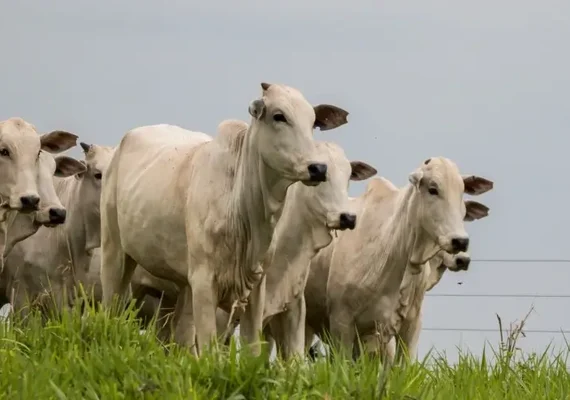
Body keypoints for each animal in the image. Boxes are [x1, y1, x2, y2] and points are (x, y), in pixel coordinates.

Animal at [101, 83, 350, 354]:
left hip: (182, 284)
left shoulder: (256, 287)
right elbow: (209, 346)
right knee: (111, 307)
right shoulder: (204, 283)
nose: (318, 168)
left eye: (313, 122)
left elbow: (253, 347)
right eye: (279, 116)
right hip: (115, 253)